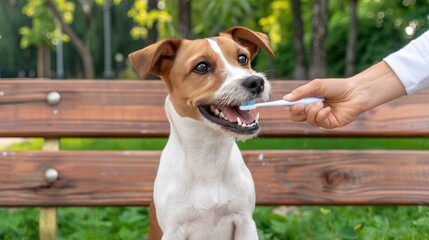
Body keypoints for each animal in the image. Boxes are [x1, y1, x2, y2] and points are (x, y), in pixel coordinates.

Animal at [129, 25, 272, 239]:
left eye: (242, 58)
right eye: (201, 67)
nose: (256, 82)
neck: (208, 156)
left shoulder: (245, 222)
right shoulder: (174, 229)